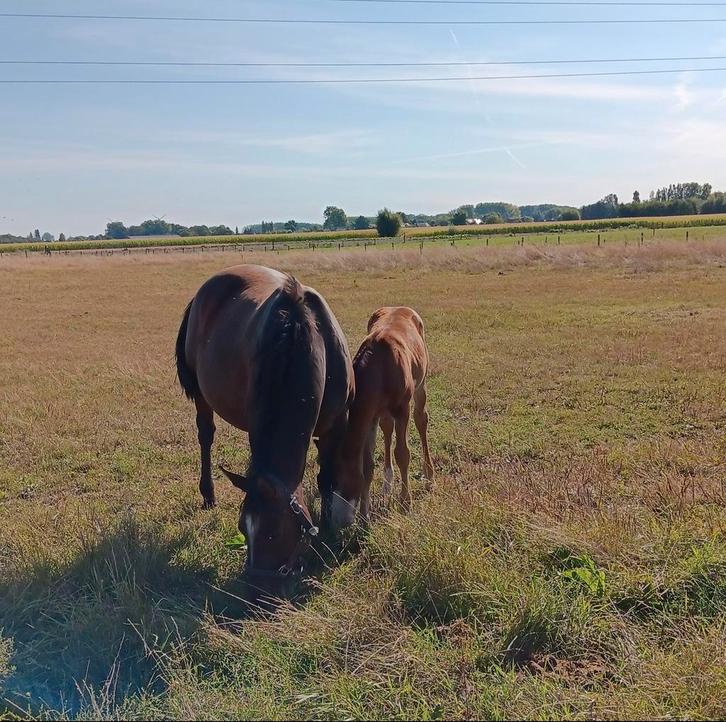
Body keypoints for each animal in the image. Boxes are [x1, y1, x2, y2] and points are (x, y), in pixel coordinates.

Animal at [175, 264, 354, 598]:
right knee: (206, 435)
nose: (258, 596)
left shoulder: (336, 427)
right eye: (242, 529)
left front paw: (328, 532)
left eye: (276, 533)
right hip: (203, 396)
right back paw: (208, 493)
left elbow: (327, 479)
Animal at [330, 306, 434, 530]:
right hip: (382, 412)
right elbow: (368, 465)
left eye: (342, 481)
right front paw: (364, 517)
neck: (380, 369)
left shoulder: (402, 409)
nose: (337, 522)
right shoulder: (370, 417)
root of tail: (401, 307)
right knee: (387, 428)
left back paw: (430, 476)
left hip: (421, 383)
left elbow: (402, 453)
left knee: (421, 419)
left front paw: (405, 502)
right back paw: (387, 482)